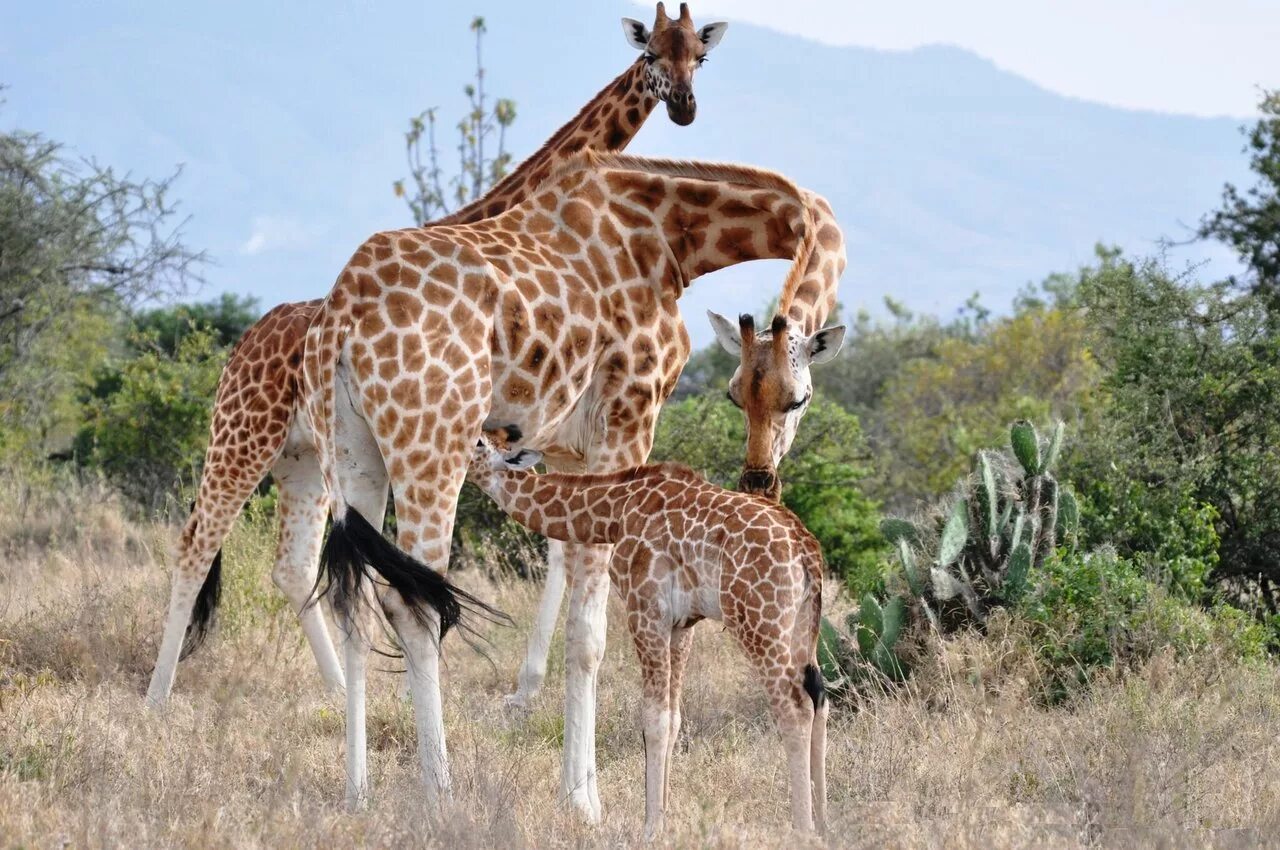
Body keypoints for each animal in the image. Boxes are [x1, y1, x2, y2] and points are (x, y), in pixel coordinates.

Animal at [140, 0, 732, 706]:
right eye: (650, 55)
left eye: (701, 55)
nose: (685, 107)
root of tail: (239, 349)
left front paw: (519, 691)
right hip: (241, 440)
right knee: (195, 544)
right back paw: (157, 698)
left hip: (300, 460)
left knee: (293, 565)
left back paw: (337, 692)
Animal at [471, 437, 829, 834]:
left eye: (478, 444)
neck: (616, 511)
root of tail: (806, 551)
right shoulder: (681, 624)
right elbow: (672, 719)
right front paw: (664, 819)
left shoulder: (645, 609)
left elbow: (653, 719)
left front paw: (650, 828)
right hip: (801, 629)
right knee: (820, 698)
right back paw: (825, 825)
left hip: (759, 622)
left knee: (794, 707)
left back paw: (803, 829)